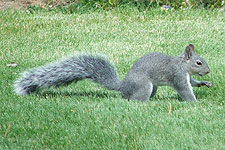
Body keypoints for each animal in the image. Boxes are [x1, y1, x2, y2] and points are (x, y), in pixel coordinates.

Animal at [14, 44, 213, 101]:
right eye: (198, 62)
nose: (208, 71)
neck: (182, 65)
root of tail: (122, 86)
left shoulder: (187, 77)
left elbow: (193, 83)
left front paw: (205, 84)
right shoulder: (178, 77)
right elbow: (185, 90)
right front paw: (195, 103)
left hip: (153, 87)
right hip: (144, 85)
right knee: (133, 100)